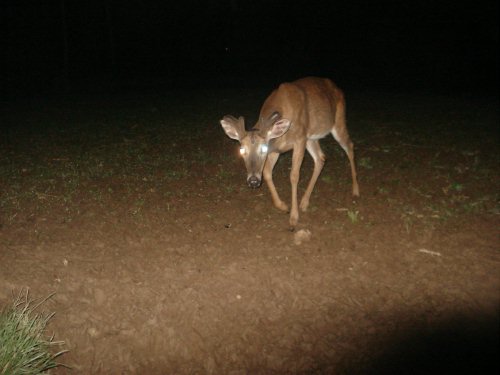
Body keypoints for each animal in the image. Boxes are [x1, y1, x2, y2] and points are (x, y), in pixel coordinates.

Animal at [221, 76, 358, 231]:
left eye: (263, 148)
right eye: (242, 150)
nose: (253, 181)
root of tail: (338, 89)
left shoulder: (299, 140)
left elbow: (294, 176)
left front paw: (293, 217)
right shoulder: (276, 149)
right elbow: (267, 172)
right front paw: (282, 205)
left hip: (337, 122)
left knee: (349, 146)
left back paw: (355, 190)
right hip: (311, 138)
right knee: (321, 158)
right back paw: (304, 202)